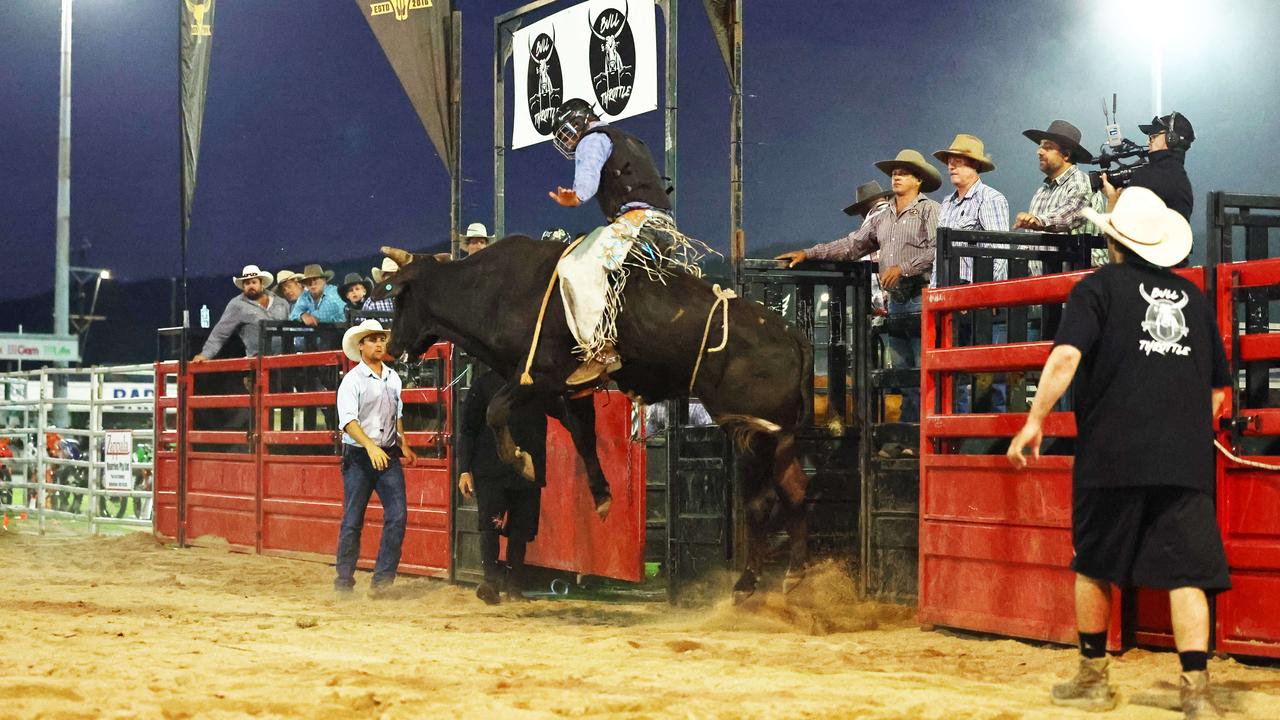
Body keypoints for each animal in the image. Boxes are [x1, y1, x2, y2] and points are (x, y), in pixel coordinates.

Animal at [373, 237, 819, 599]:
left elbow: (497, 409)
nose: (391, 346)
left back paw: (747, 584)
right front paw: (602, 495)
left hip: (751, 433)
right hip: (777, 437)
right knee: (794, 489)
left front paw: (522, 461)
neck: (494, 290)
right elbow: (583, 438)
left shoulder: (540, 373)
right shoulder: (570, 392)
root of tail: (791, 335)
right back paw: (794, 572)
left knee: (761, 502)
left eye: (399, 298)